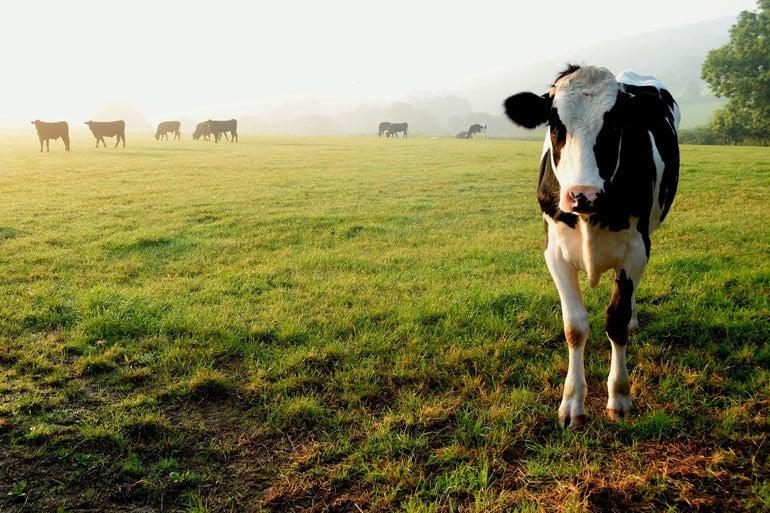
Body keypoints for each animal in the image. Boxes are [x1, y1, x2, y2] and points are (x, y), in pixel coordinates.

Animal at [504, 65, 680, 428]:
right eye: (555, 125)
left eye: (615, 125)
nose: (582, 195)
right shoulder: (555, 252)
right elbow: (574, 327)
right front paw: (572, 401)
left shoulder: (637, 249)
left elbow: (616, 319)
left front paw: (620, 395)